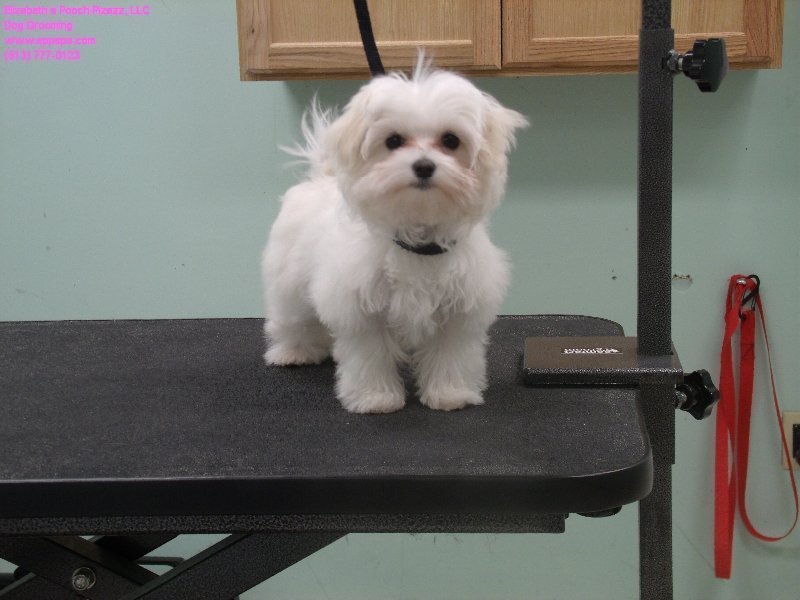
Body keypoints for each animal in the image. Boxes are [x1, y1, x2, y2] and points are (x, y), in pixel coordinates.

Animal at [261, 55, 527, 413]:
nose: (424, 166)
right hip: (288, 280)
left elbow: (450, 354)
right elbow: (370, 355)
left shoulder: (459, 310)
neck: (418, 239)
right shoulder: (362, 310)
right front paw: (375, 397)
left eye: (451, 140)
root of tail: (320, 177)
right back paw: (293, 351)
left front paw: (450, 393)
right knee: (290, 317)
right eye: (393, 141)